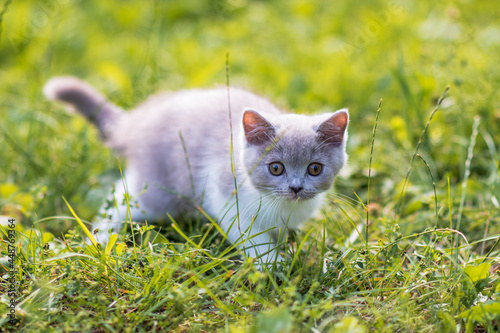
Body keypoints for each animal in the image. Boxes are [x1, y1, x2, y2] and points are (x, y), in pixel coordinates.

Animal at [44, 77, 348, 264]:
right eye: (276, 168)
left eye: (314, 168)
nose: (296, 187)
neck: (281, 206)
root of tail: (137, 122)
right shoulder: (228, 200)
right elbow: (253, 239)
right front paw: (273, 265)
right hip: (158, 190)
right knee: (120, 200)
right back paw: (101, 239)